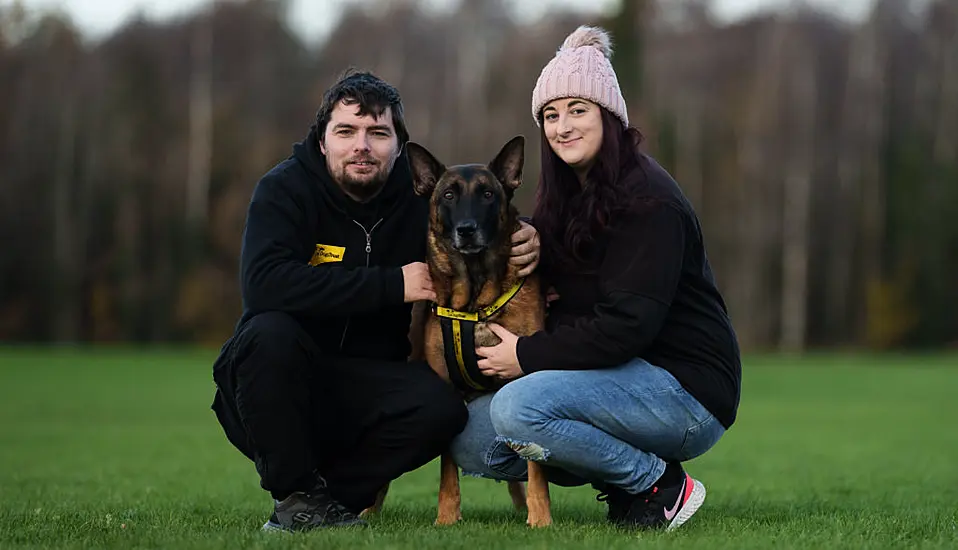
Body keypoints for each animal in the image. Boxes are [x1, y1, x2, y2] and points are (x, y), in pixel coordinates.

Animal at [362, 136, 552, 528]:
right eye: (448, 195)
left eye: (488, 194)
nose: (466, 229)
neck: (476, 295)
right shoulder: (447, 386)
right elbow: (447, 466)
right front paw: (447, 515)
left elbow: (535, 465)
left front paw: (540, 516)